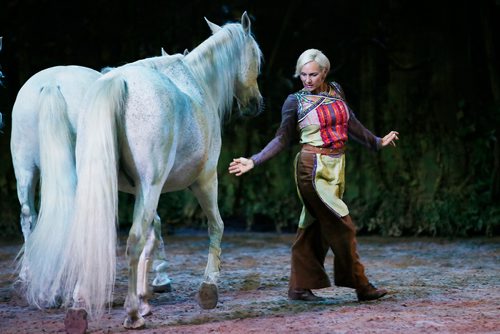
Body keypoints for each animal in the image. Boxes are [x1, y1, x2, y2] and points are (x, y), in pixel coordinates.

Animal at [19, 12, 262, 328]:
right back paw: (130, 313)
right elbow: (214, 226)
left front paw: (147, 294)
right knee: (132, 237)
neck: (197, 84)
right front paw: (206, 289)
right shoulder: (204, 180)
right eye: (257, 57)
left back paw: (74, 303)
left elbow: (151, 235)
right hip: (153, 185)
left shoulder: (138, 190)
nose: (256, 103)